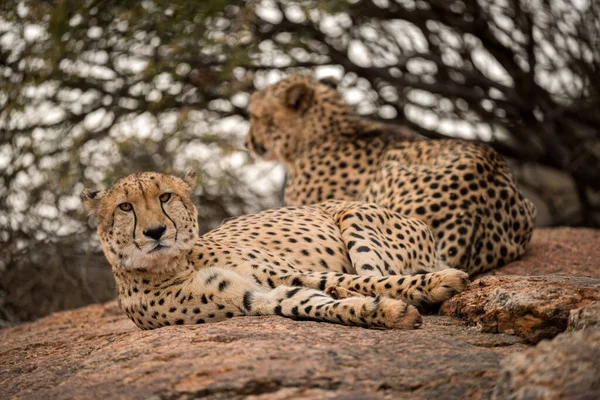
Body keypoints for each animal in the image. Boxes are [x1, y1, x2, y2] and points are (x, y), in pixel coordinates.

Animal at [82, 172, 472, 332]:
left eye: (165, 197)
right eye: (125, 207)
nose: (155, 232)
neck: (174, 263)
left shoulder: (286, 272)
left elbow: (367, 280)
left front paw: (437, 283)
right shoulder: (252, 298)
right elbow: (307, 303)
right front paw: (384, 312)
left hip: (354, 216)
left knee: (373, 273)